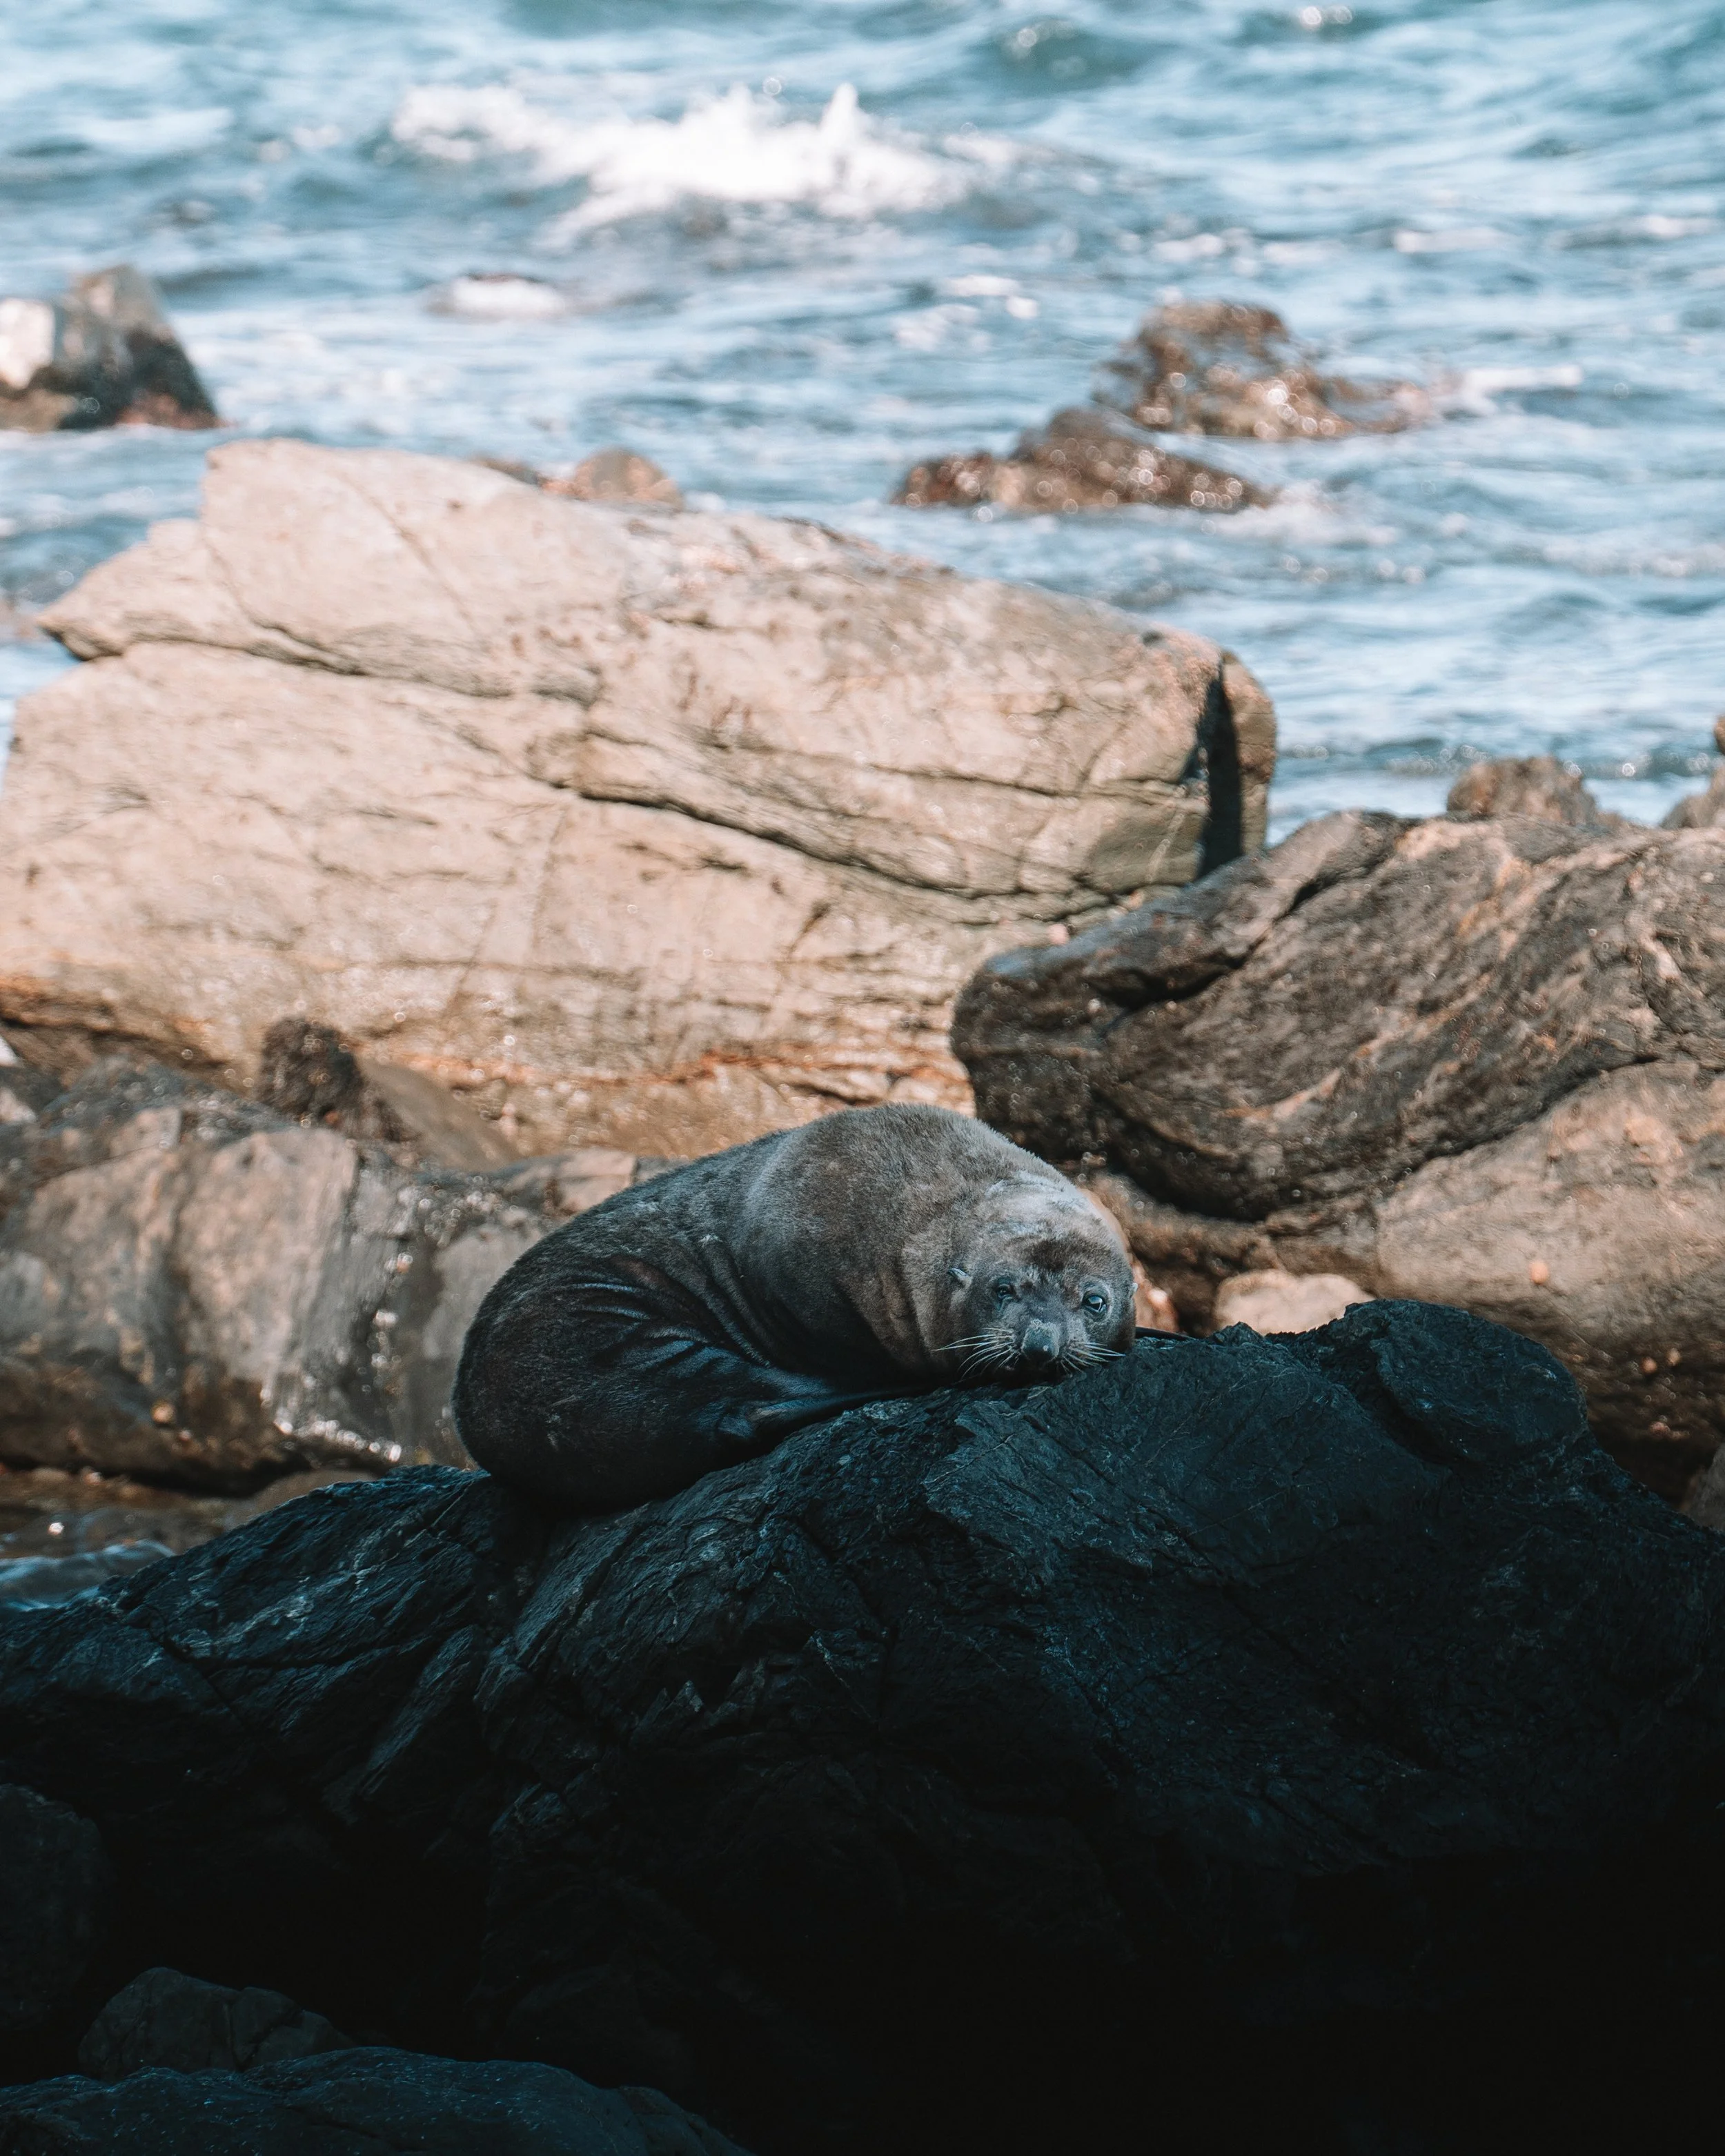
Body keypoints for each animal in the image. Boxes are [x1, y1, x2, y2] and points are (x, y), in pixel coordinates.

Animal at [452, 1103, 1135, 1512]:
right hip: (598, 1332)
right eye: (1003, 1289)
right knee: (742, 1402)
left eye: (1094, 1300)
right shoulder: (804, 1286)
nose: (1041, 1342)